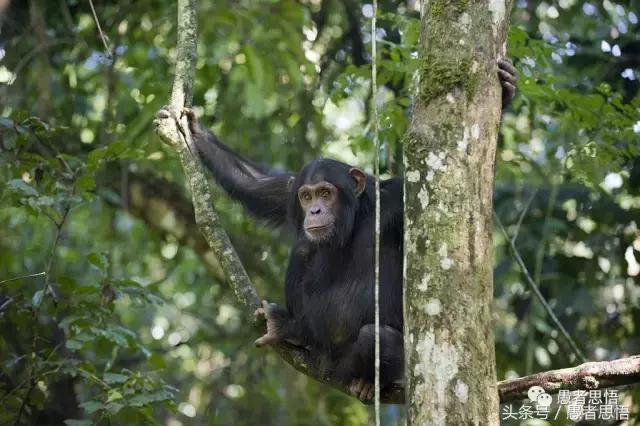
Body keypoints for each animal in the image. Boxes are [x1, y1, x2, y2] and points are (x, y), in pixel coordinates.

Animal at [158, 58, 516, 402]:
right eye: (307, 196)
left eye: (326, 193)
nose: (315, 210)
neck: (355, 219)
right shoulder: (287, 191)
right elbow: (257, 185)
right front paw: (196, 131)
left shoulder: (398, 200)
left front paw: (506, 89)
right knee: (303, 249)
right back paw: (293, 332)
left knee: (375, 339)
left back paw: (355, 375)